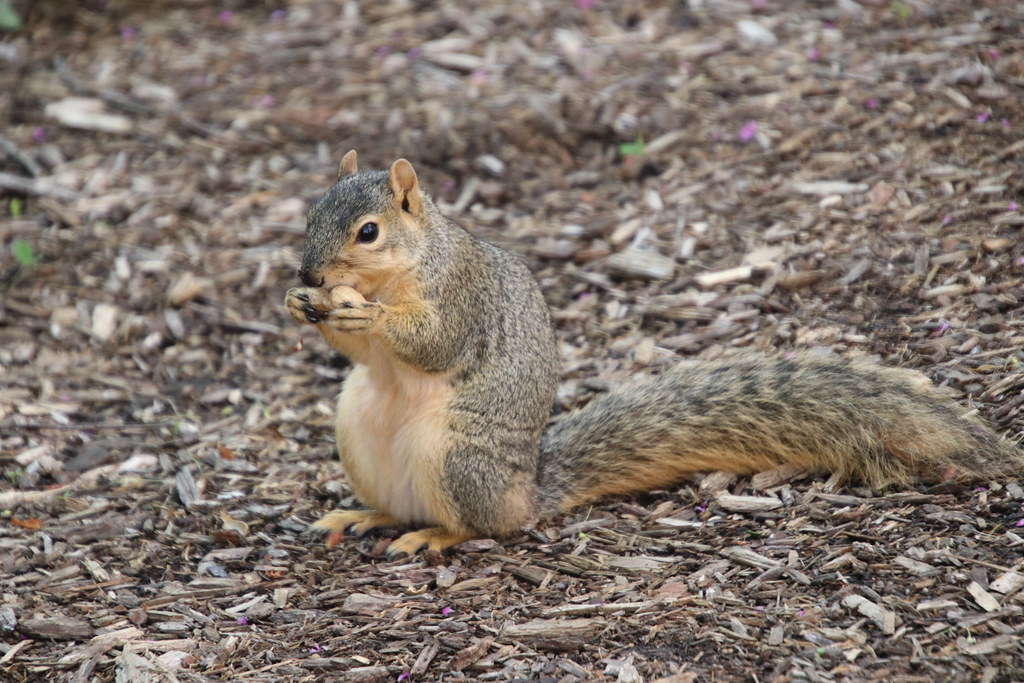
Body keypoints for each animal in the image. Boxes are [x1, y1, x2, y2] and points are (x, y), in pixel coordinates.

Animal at [284, 151, 1021, 557]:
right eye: (309, 214)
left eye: (368, 231)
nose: (310, 273)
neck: (403, 266)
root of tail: (527, 490)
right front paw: (302, 305)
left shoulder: (461, 295)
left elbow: (434, 341)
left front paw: (367, 312)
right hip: (356, 432)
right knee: (401, 505)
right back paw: (365, 515)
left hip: (456, 458)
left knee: (482, 527)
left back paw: (437, 535)